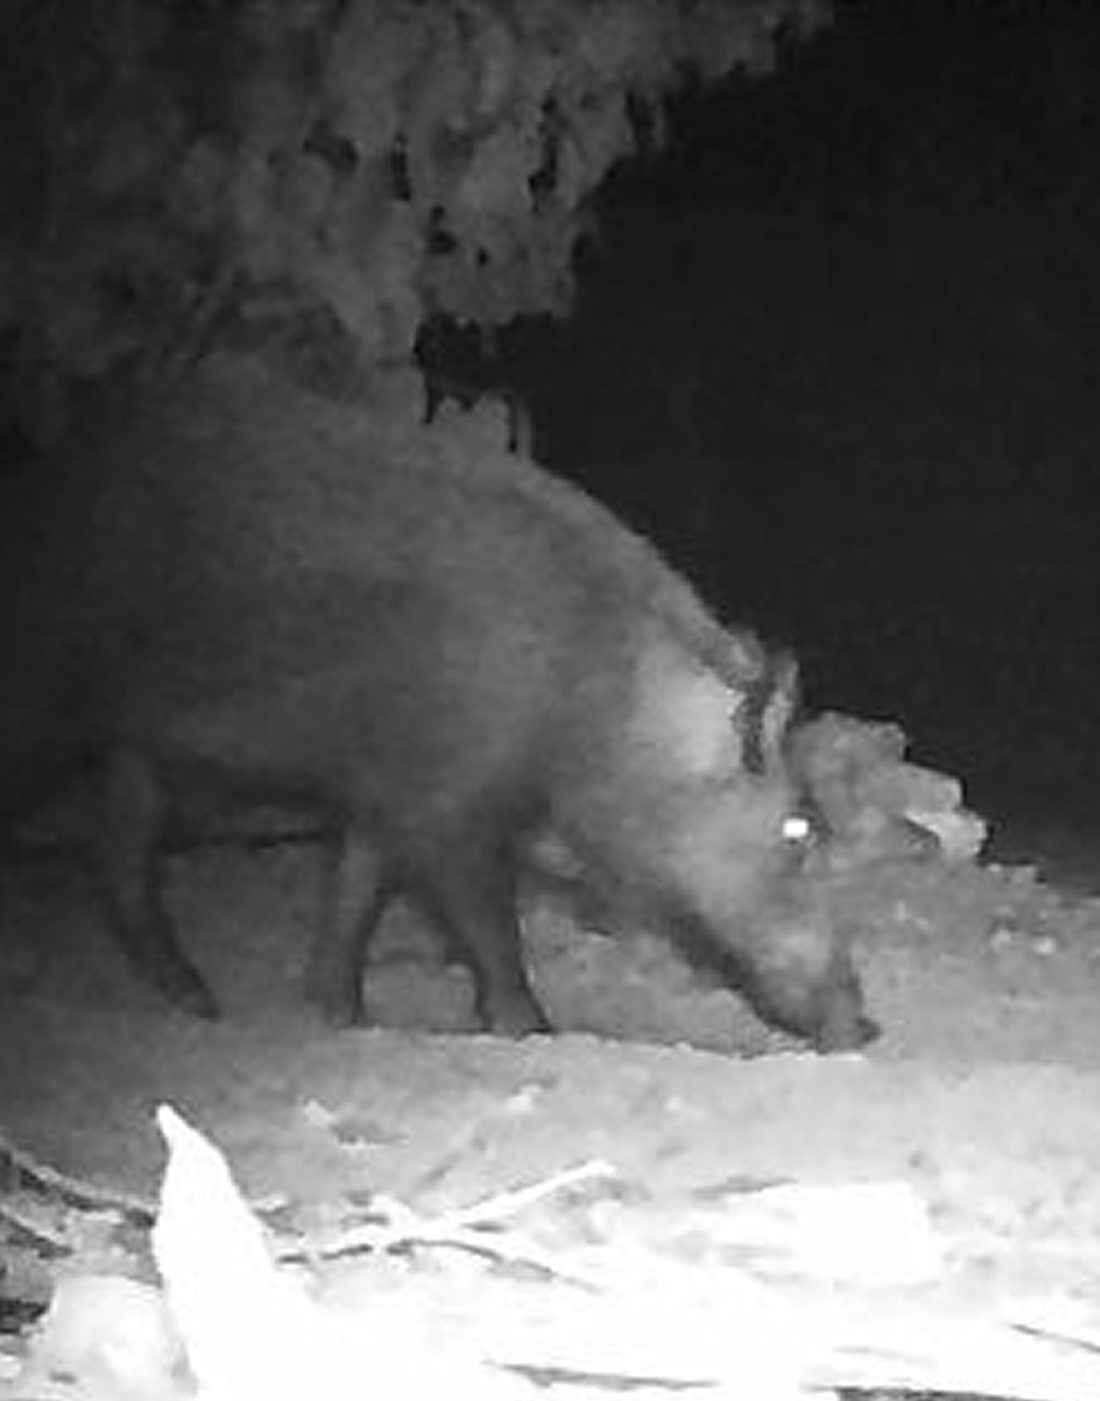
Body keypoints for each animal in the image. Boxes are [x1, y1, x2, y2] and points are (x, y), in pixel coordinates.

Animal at [0, 357, 876, 1050]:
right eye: (798, 828)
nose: (866, 1027)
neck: (589, 702)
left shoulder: (384, 792)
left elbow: (356, 890)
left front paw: (343, 1015)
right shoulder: (444, 802)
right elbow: (487, 922)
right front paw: (532, 1029)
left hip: (138, 749)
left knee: (117, 852)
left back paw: (200, 1002)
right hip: (49, 691)